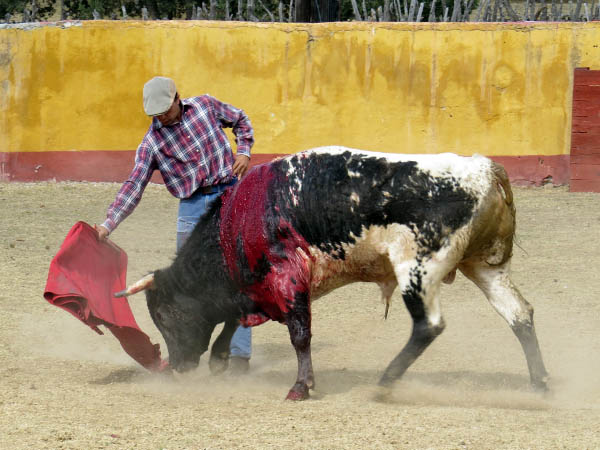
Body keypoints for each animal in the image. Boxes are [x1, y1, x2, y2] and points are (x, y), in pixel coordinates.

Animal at [116, 148, 548, 400]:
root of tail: (485, 170)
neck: (235, 225)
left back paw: (386, 381)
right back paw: (540, 384)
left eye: (164, 314)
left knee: (429, 326)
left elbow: (299, 335)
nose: (178, 367)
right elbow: (233, 319)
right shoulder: (255, 288)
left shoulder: (288, 278)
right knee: (520, 314)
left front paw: (301, 386)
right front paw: (221, 360)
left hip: (418, 270)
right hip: (486, 266)